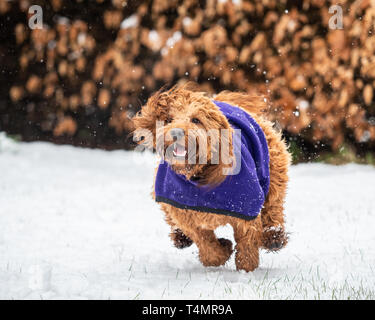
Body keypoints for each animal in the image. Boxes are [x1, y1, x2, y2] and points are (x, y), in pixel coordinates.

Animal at [132, 84, 290, 272]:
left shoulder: (246, 207)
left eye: (195, 120)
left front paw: (246, 267)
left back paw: (273, 236)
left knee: (274, 205)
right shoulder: (185, 213)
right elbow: (206, 244)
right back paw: (180, 237)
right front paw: (222, 251)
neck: (198, 175)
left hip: (273, 169)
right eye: (169, 119)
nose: (176, 132)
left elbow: (247, 240)